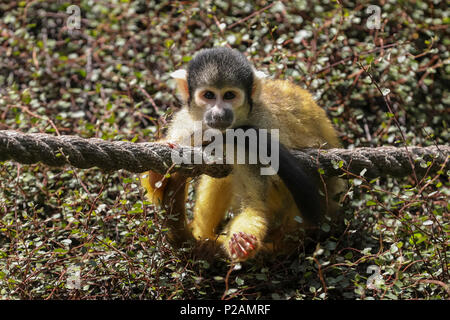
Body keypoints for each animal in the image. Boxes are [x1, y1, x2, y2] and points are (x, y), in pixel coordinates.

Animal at [141, 48, 344, 262]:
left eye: (229, 95)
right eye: (208, 95)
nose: (219, 113)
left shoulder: (259, 131)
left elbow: (254, 203)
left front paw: (243, 240)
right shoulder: (185, 125)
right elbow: (157, 191)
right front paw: (157, 173)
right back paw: (203, 238)